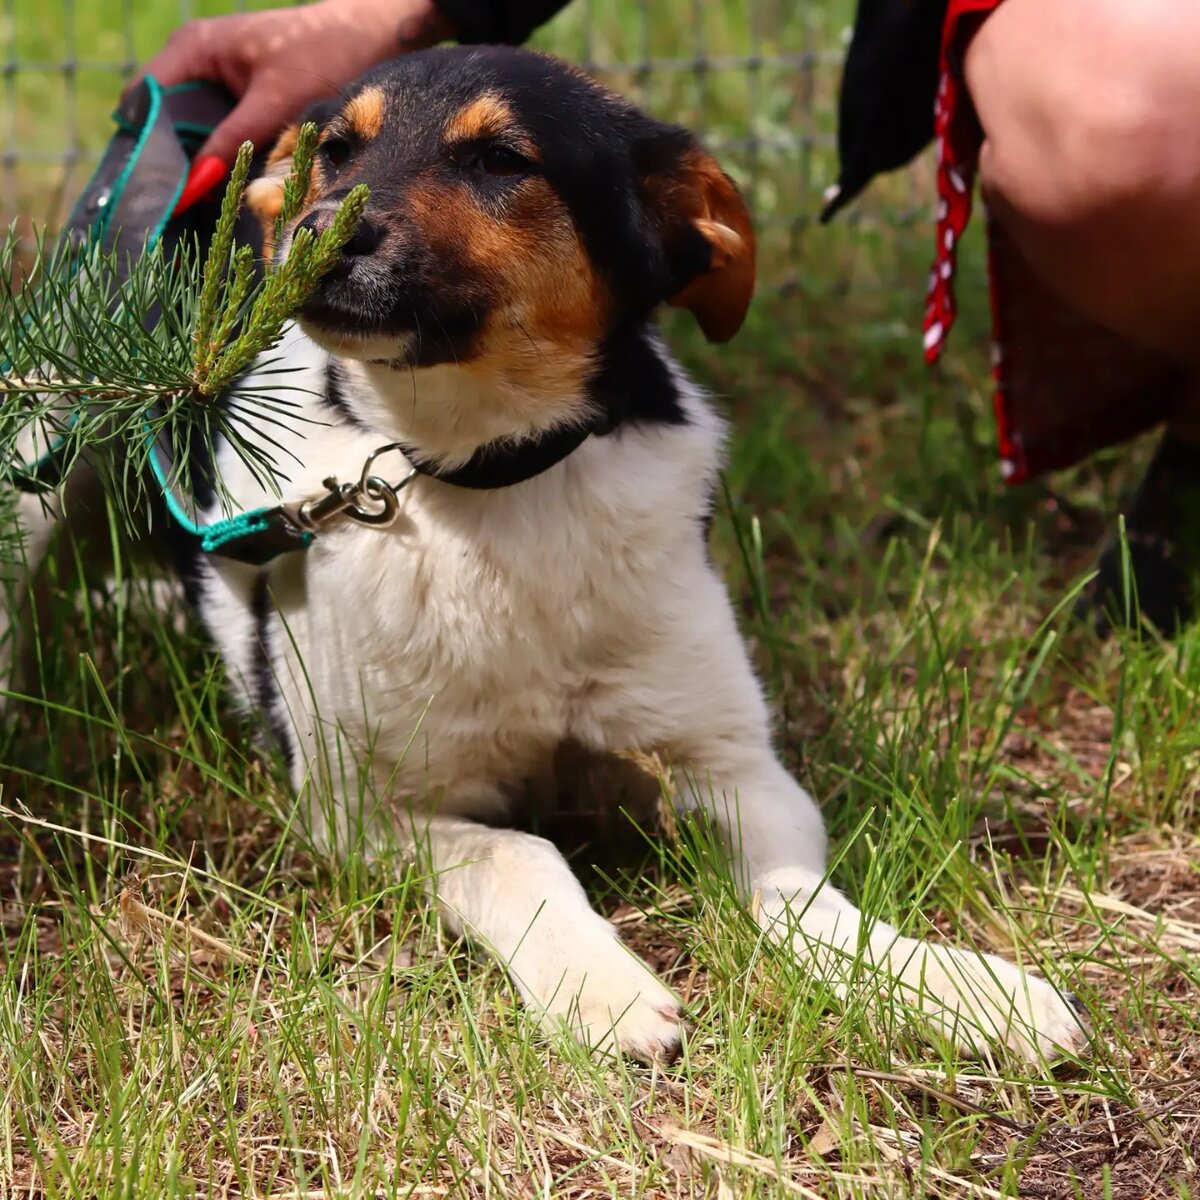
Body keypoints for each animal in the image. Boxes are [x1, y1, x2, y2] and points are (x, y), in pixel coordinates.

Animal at [32, 44, 1084, 1060]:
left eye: (503, 160)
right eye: (335, 151)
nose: (317, 233)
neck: (486, 480)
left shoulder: (732, 763)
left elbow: (802, 901)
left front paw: (956, 987)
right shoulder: (356, 809)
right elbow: (520, 854)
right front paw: (601, 987)